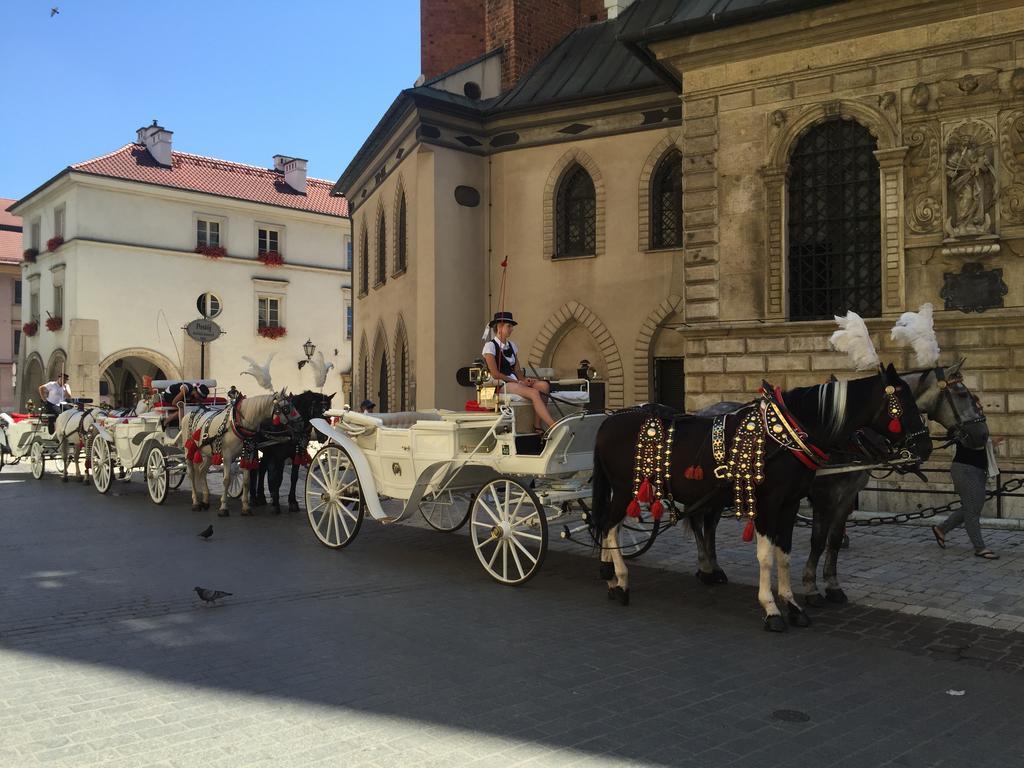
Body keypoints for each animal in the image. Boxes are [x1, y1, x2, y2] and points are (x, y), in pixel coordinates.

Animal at [589, 364, 933, 630]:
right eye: (906, 403)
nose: (926, 447)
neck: (788, 437)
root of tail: (608, 421)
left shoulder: (791, 503)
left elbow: (785, 554)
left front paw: (793, 605)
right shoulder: (770, 503)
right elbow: (767, 556)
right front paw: (771, 608)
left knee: (610, 526)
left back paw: (611, 577)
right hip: (624, 489)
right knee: (609, 526)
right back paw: (621, 581)